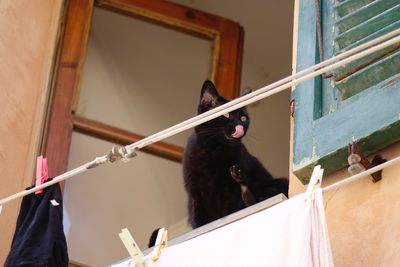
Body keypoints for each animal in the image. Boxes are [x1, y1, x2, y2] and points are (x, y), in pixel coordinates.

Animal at [183, 80, 290, 229]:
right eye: (226, 114)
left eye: (243, 118)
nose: (239, 126)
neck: (214, 150)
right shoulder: (195, 192)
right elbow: (199, 218)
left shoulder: (230, 191)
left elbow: (231, 209)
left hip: (272, 183)